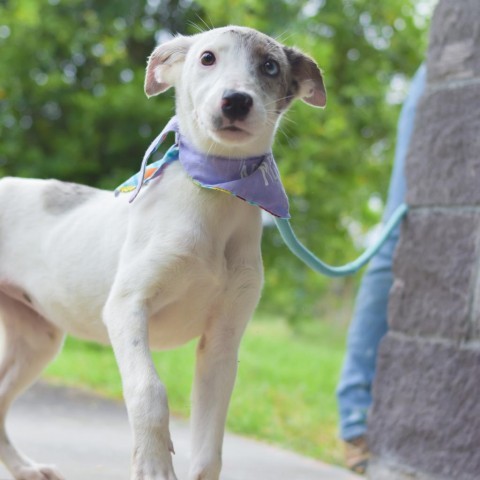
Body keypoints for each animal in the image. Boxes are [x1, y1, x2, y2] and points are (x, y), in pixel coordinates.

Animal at [0, 26, 326, 480]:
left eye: (270, 66)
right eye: (207, 58)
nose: (236, 101)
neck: (215, 192)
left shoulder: (222, 342)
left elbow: (209, 450)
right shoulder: (126, 307)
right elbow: (149, 391)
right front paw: (153, 464)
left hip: (36, 340)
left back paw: (24, 468)